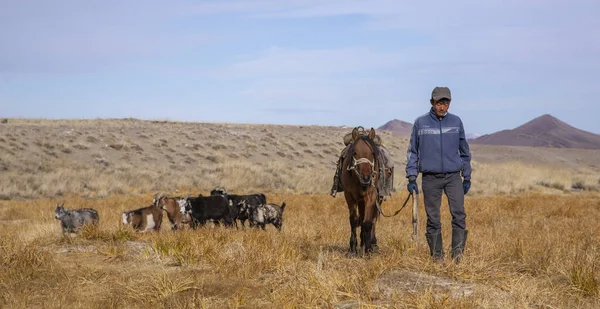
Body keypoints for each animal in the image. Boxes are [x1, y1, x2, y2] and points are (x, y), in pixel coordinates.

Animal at [340, 125, 382, 255]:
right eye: (355, 152)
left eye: (372, 153)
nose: (366, 177)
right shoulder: (349, 196)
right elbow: (354, 220)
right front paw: (352, 248)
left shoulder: (371, 196)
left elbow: (368, 222)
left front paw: (368, 249)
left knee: (373, 219)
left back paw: (371, 243)